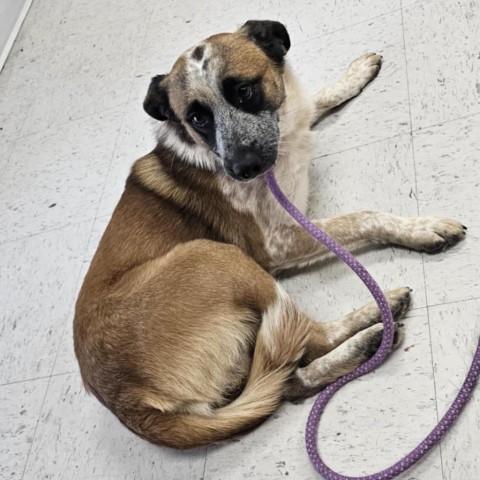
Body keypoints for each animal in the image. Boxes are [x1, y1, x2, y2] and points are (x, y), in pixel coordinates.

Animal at [74, 19, 464, 450]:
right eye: (197, 118)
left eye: (243, 90)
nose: (242, 168)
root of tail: (133, 405)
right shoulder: (280, 241)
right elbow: (363, 217)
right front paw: (420, 228)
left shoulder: (292, 122)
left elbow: (317, 98)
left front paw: (355, 74)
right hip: (217, 256)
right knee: (309, 340)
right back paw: (377, 321)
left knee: (289, 380)